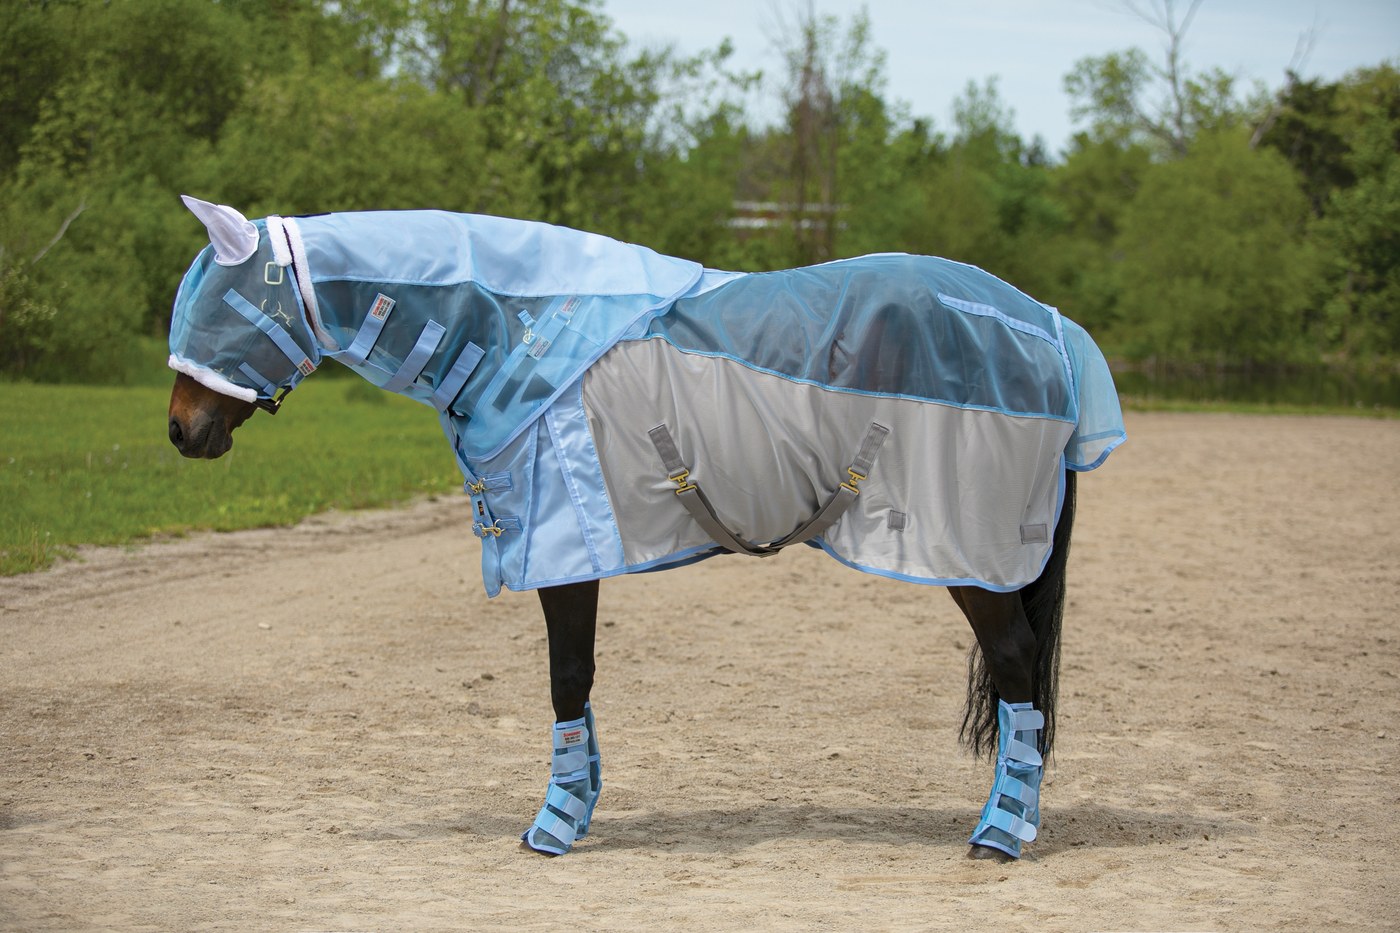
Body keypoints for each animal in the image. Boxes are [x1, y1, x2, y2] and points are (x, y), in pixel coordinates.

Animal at [166, 196, 1125, 862]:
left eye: (222, 306)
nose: (181, 431)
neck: (517, 334)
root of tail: (1051, 331)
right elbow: (577, 688)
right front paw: (579, 804)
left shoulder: (564, 551)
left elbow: (566, 677)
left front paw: (554, 825)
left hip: (970, 557)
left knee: (1017, 667)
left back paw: (999, 833)